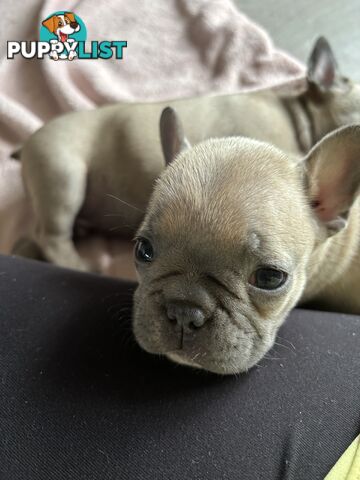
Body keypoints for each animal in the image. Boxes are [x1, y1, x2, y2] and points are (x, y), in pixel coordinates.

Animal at [14, 36, 360, 274]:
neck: (299, 114)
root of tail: (27, 144)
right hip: (63, 175)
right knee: (52, 237)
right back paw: (81, 267)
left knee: (34, 237)